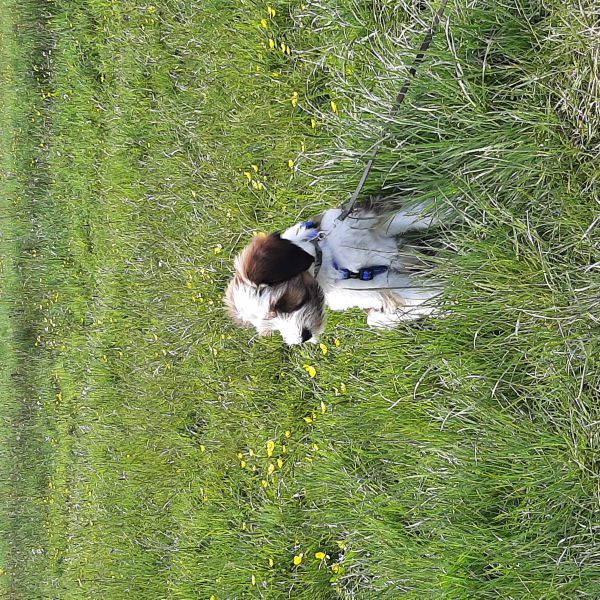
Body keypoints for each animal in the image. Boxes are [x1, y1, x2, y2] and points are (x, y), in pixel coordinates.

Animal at [225, 199, 446, 344]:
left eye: (280, 303)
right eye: (271, 328)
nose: (303, 338)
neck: (327, 261)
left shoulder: (370, 221)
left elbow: (417, 216)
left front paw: (449, 204)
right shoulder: (379, 287)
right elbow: (425, 294)